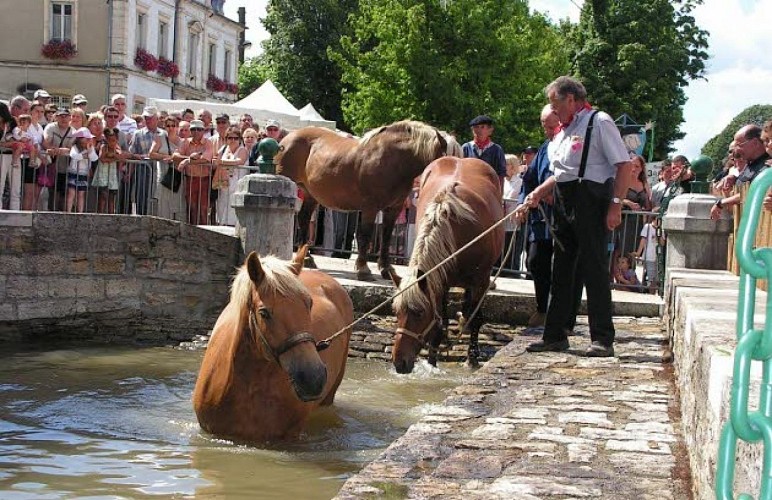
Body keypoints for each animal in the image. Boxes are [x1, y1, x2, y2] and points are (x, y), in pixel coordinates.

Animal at [276, 120, 446, 282]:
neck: (392, 161)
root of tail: (286, 139)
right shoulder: (370, 207)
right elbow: (365, 235)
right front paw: (363, 269)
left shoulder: (394, 209)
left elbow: (386, 237)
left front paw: (386, 269)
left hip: (310, 194)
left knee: (304, 218)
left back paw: (306, 257)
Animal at [390, 158, 504, 374]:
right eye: (396, 312)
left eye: (419, 312)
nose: (399, 363)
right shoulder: (439, 282)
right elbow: (439, 323)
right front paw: (432, 361)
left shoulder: (481, 280)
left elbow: (476, 319)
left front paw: (471, 359)